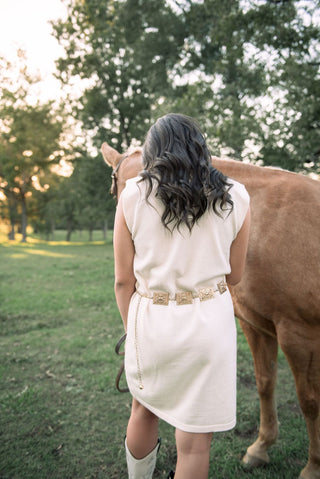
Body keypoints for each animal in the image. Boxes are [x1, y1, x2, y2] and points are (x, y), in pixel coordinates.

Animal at [102, 142, 320, 479]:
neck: (271, 226)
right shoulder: (256, 326)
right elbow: (265, 383)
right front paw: (261, 448)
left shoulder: (299, 335)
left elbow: (309, 401)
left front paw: (313, 467)